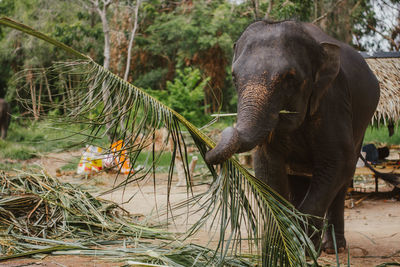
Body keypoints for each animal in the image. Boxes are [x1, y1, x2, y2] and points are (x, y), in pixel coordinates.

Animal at [205, 19, 380, 254]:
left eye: (290, 77)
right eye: (234, 77)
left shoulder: (332, 101)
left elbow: (338, 163)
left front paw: (304, 250)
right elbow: (268, 166)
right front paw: (279, 245)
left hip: (361, 124)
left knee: (344, 176)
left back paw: (331, 248)